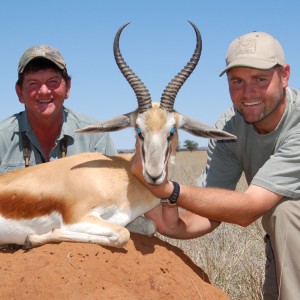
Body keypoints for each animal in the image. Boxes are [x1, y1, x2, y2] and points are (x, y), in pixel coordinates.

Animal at [0, 22, 234, 250]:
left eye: (171, 131)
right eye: (139, 131)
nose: (154, 175)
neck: (121, 177)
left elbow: (148, 226)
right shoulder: (76, 218)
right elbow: (121, 234)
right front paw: (32, 239)